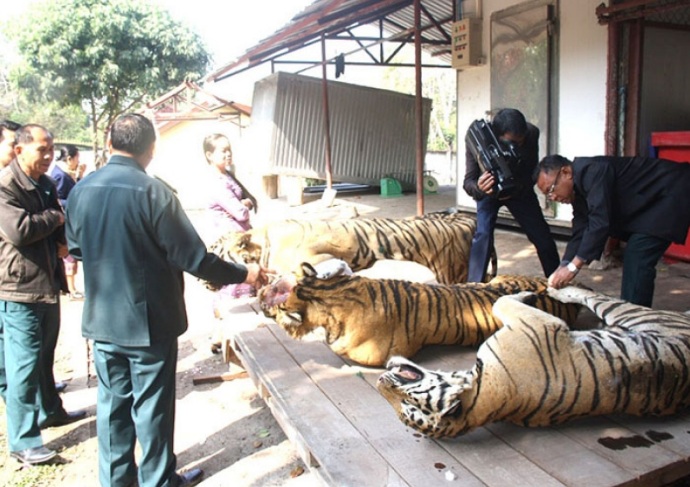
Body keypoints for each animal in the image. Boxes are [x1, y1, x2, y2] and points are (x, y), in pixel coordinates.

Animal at [374, 286, 688, 438]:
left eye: (405, 402)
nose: (378, 381)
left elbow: (501, 302)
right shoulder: (537, 323)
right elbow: (500, 303)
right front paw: (529, 294)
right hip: (634, 314)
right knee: (590, 295)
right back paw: (557, 287)